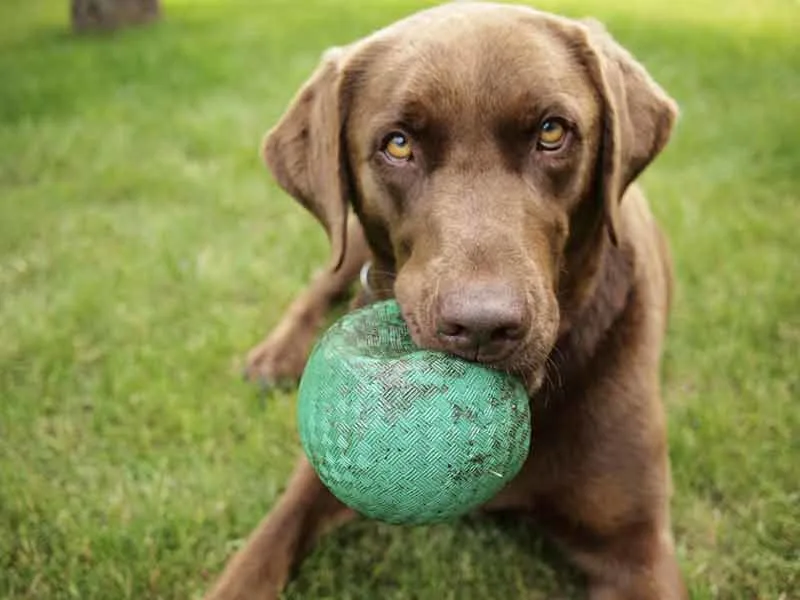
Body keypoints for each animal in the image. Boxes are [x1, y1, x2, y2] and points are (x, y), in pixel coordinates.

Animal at [216, 4, 684, 600]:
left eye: (552, 131)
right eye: (397, 144)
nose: (483, 326)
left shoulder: (636, 546)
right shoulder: (319, 478)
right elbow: (258, 554)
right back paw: (273, 357)